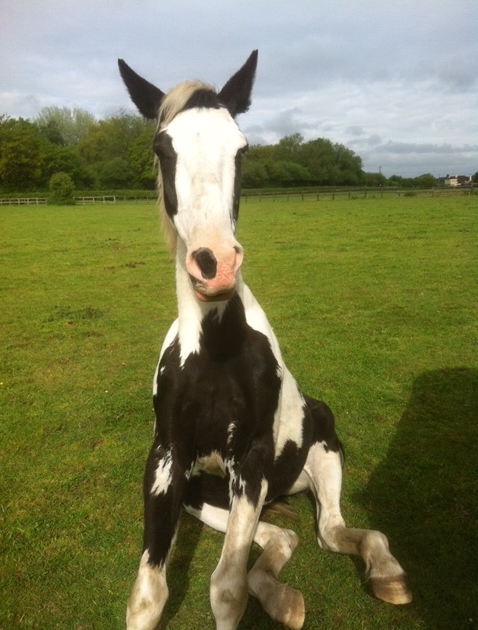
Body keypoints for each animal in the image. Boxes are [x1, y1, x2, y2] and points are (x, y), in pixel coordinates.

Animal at [118, 50, 410, 630]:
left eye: (243, 147)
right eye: (162, 148)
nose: (215, 264)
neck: (213, 352)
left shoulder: (250, 459)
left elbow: (226, 590)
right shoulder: (167, 460)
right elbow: (149, 594)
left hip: (322, 451)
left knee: (330, 531)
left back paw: (385, 572)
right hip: (206, 493)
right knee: (284, 536)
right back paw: (280, 595)